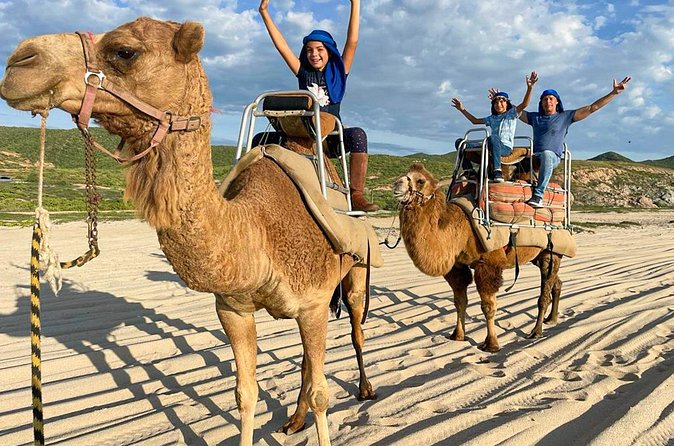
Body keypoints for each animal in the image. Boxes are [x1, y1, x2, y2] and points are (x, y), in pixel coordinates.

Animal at [0, 17, 376, 446]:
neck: (255, 230)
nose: (19, 61)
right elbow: (245, 394)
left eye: (125, 51)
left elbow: (320, 394)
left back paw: (365, 389)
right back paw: (293, 421)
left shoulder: (312, 303)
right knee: (305, 363)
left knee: (356, 327)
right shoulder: (233, 308)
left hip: (355, 272)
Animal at [393, 163, 562, 352]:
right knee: (556, 282)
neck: (460, 230)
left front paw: (491, 344)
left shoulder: (487, 265)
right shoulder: (457, 266)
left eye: (420, 180)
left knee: (545, 290)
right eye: (406, 174)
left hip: (551, 251)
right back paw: (551, 319)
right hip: (538, 256)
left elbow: (488, 307)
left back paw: (536, 331)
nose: (396, 185)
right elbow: (459, 301)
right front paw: (457, 335)